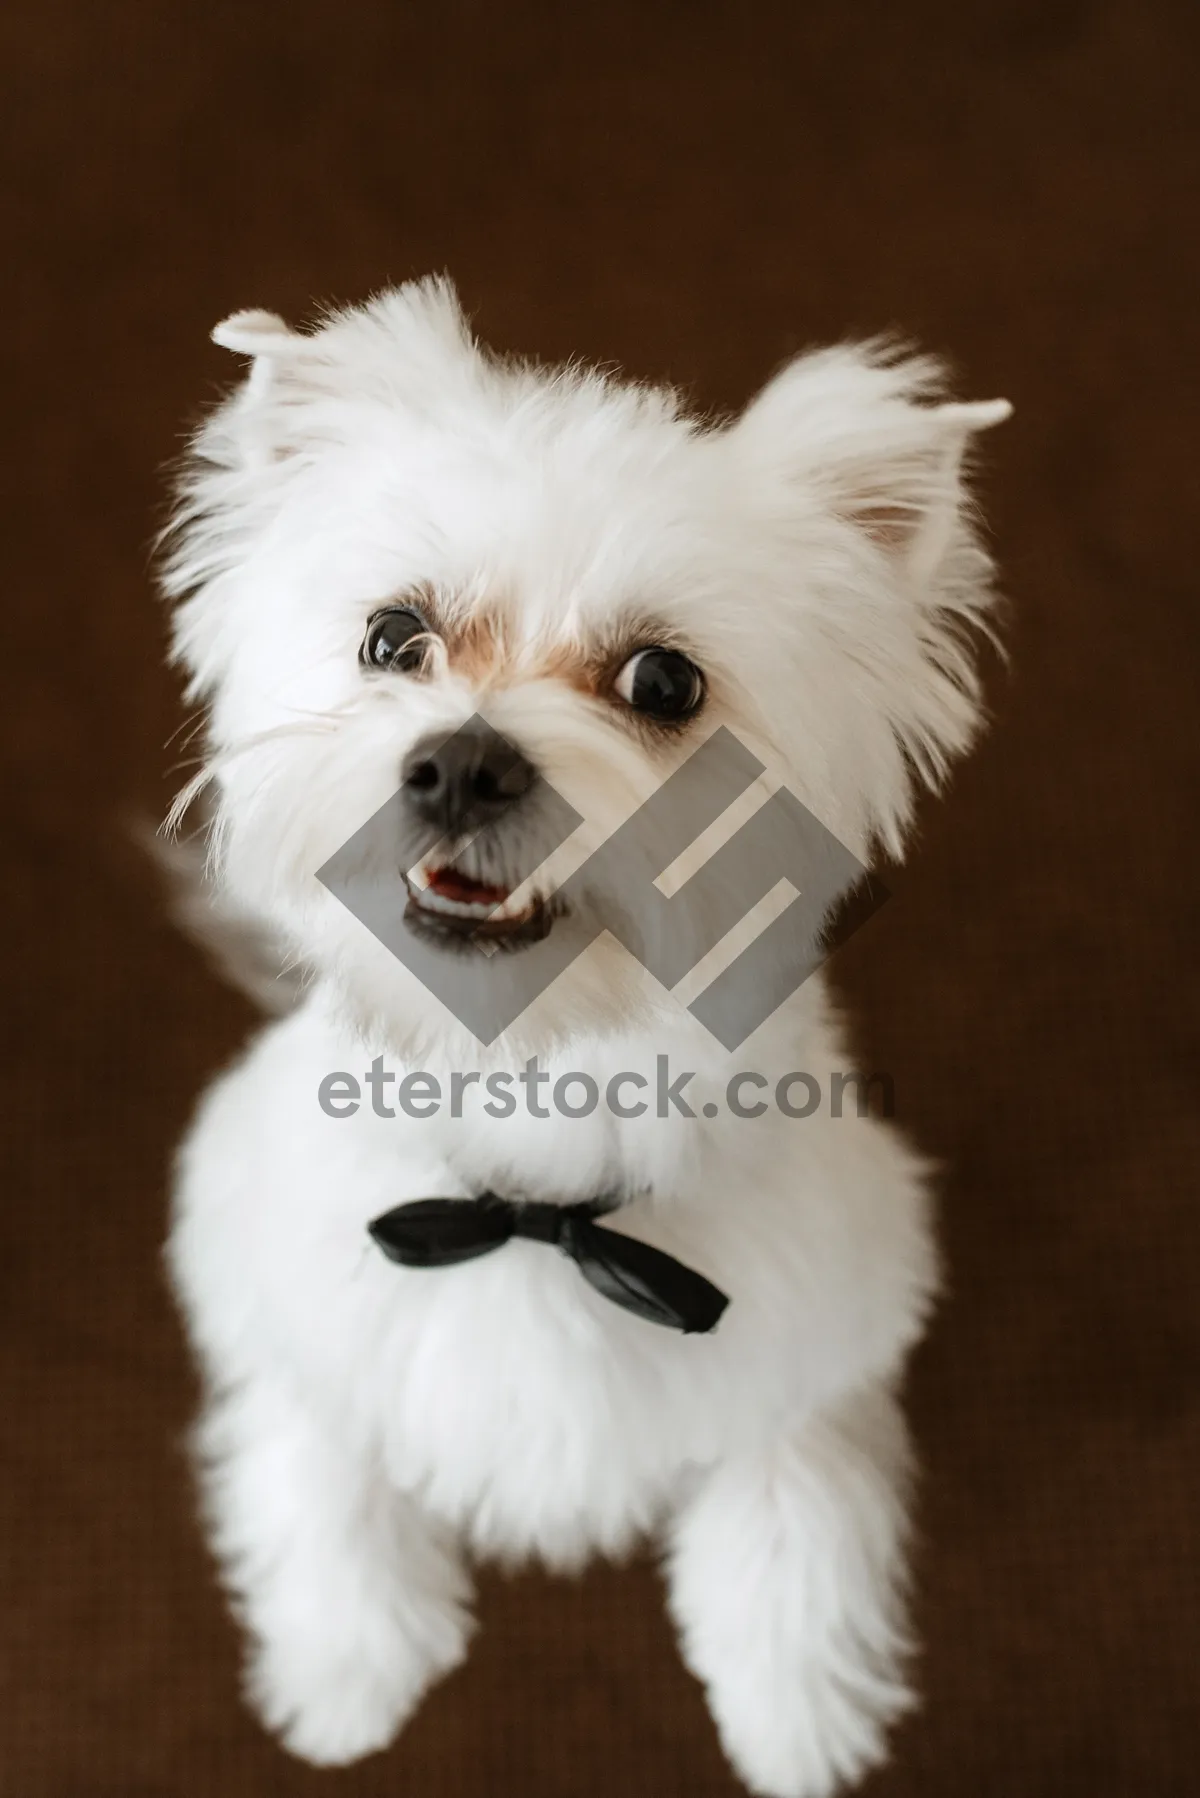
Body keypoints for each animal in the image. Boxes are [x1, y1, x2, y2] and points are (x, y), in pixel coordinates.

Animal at [157, 280, 1007, 1798]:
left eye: (664, 681)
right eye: (395, 639)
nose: (459, 762)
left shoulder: (809, 1354)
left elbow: (795, 1540)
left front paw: (799, 1722)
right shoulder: (288, 1302)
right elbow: (318, 1480)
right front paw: (345, 1679)